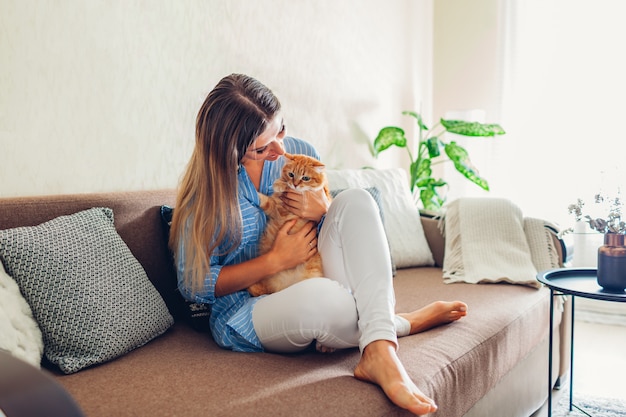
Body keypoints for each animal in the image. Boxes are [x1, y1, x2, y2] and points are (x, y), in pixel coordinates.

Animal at [246, 153, 332, 296]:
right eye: (291, 174)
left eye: (305, 178)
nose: (296, 185)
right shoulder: (274, 207)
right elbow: (264, 199)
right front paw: (279, 184)